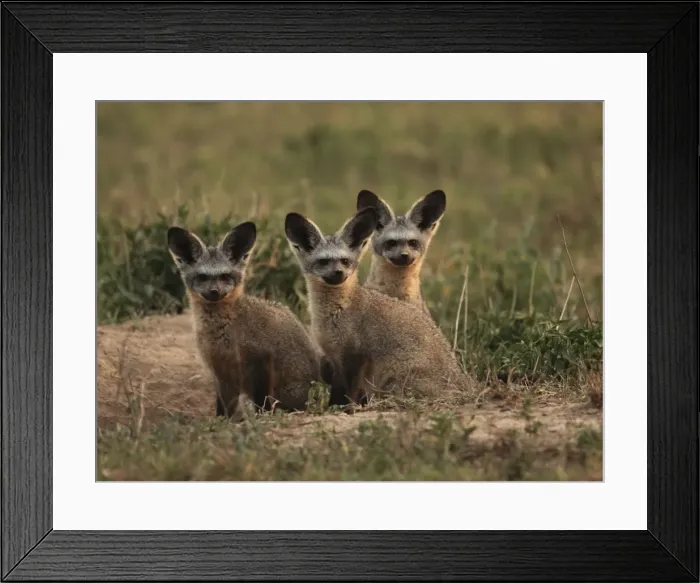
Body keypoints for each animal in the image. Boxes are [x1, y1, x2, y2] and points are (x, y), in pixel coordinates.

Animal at [167, 221, 333, 420]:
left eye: (225, 276)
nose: (214, 292)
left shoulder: (259, 361)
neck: (222, 333)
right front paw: (221, 421)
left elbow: (261, 403)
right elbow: (222, 408)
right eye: (202, 277)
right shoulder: (220, 372)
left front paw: (261, 418)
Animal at [284, 206, 472, 406]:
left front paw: (346, 408)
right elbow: (337, 389)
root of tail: (463, 381)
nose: (338, 273)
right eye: (323, 261)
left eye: (345, 261)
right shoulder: (334, 357)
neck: (335, 312)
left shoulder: (355, 357)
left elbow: (348, 393)